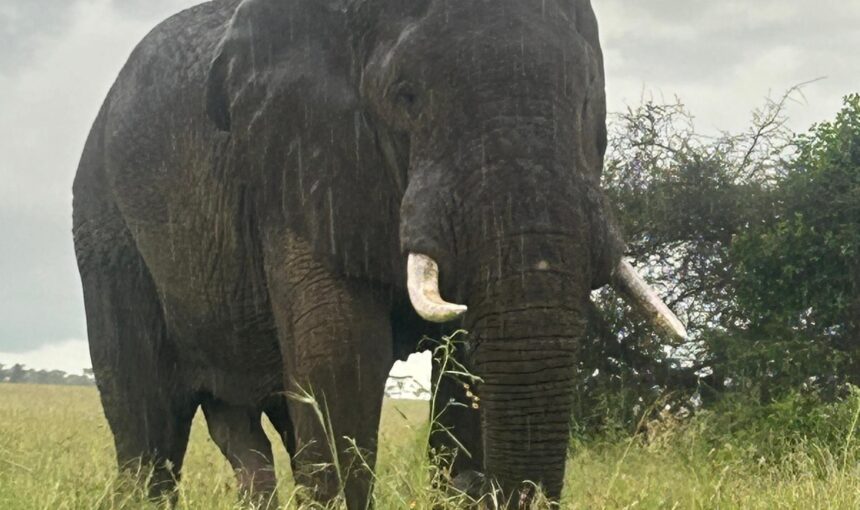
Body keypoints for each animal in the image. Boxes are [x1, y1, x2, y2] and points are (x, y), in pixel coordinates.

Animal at [72, 0, 685, 507]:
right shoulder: (301, 162)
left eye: (585, 101)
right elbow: (341, 363)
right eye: (406, 97)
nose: (488, 491)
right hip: (105, 222)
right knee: (147, 421)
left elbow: (464, 370)